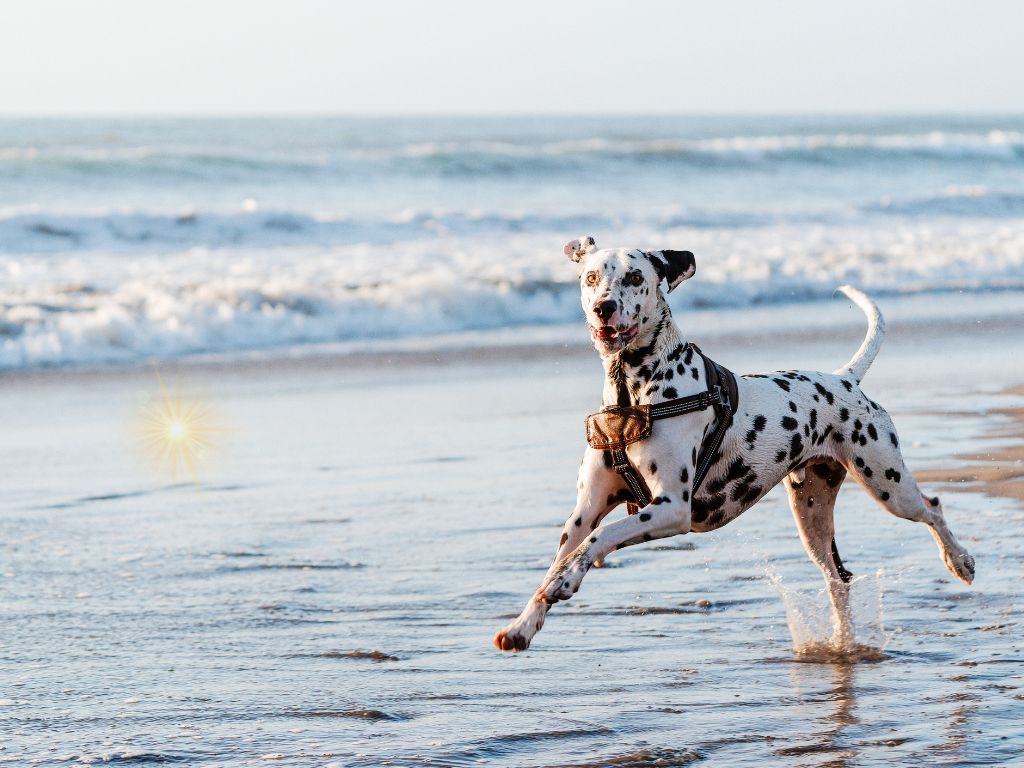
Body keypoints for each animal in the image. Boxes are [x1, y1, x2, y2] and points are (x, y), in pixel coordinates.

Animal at [493, 237, 974, 651]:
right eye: (591, 277)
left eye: (633, 277)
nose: (603, 307)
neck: (633, 392)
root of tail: (845, 379)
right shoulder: (585, 510)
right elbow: (564, 554)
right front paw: (524, 624)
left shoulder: (671, 508)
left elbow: (601, 537)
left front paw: (567, 580)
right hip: (813, 515)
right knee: (838, 578)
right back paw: (842, 643)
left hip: (887, 484)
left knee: (932, 507)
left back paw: (960, 561)